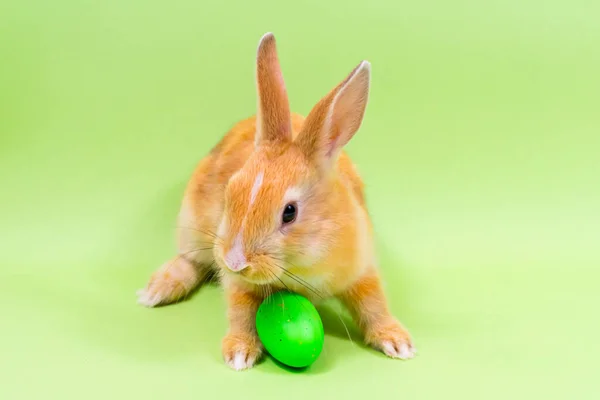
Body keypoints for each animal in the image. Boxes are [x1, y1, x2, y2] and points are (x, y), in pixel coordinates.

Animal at [138, 32, 414, 372]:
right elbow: (241, 312)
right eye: (230, 192)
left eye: (290, 212)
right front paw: (238, 353)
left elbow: (374, 304)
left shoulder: (362, 270)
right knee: (189, 260)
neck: (301, 265)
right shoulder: (238, 284)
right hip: (192, 226)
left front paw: (398, 343)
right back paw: (155, 291)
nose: (235, 262)